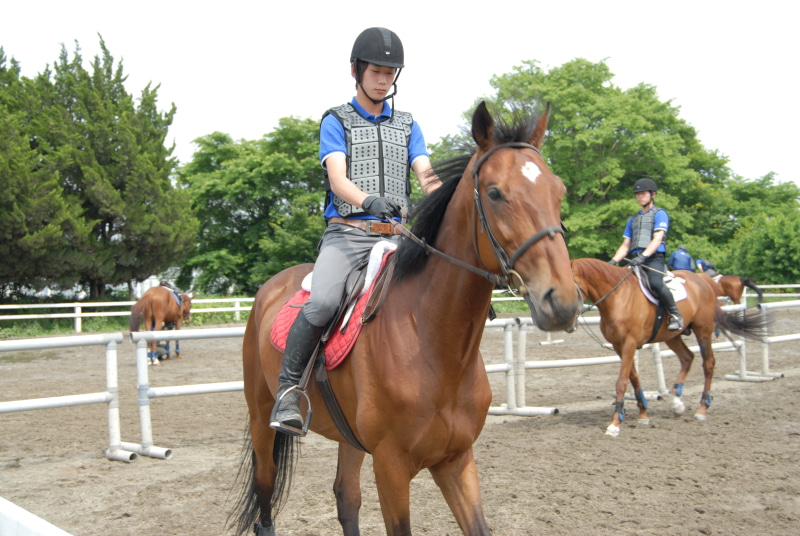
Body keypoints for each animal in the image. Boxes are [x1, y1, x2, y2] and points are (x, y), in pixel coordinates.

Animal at [231, 101, 580, 536]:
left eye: (558, 190)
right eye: (496, 193)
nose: (561, 302)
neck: (433, 342)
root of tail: (270, 289)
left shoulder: (456, 459)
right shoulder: (391, 467)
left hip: (349, 438)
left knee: (346, 497)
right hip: (261, 416)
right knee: (265, 493)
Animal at [568, 258, 768, 438]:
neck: (618, 297)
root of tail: (704, 280)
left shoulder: (629, 344)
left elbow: (622, 383)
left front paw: (615, 424)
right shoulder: (619, 347)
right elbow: (634, 378)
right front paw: (643, 413)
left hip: (703, 330)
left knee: (708, 363)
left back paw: (702, 408)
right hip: (672, 336)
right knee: (687, 357)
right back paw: (676, 402)